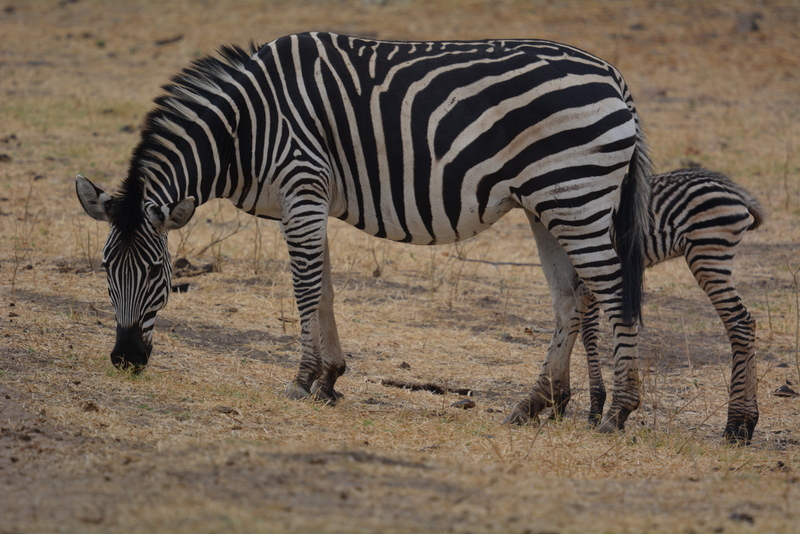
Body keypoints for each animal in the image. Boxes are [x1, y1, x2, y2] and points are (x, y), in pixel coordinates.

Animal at [73, 31, 648, 436]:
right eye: (104, 268)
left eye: (158, 271)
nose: (125, 358)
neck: (244, 128)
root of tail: (613, 75)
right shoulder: (307, 201)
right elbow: (323, 288)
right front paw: (329, 378)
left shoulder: (302, 186)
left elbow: (305, 290)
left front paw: (302, 379)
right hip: (547, 203)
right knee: (570, 300)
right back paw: (536, 404)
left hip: (573, 194)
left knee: (614, 291)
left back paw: (617, 412)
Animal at [572, 169, 764, 444]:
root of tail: (736, 191)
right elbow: (585, 329)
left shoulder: (587, 271)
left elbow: (586, 331)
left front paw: (589, 409)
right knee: (747, 322)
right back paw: (746, 425)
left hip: (708, 255)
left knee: (739, 323)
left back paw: (734, 425)